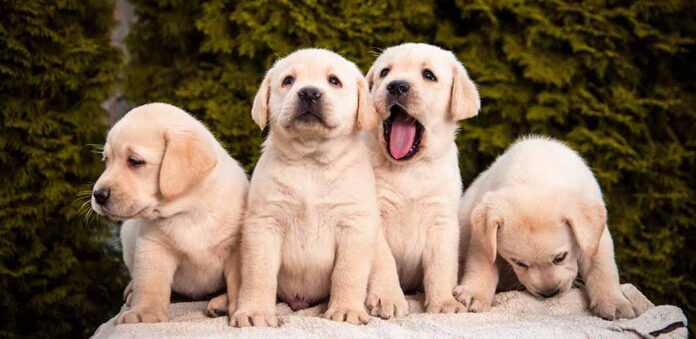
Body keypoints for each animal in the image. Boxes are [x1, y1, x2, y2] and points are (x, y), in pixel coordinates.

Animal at [89, 103, 247, 324]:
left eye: (135, 161)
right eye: (106, 160)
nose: (98, 195)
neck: (188, 210)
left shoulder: (236, 248)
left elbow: (238, 284)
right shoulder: (153, 247)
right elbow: (151, 283)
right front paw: (143, 312)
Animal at [227, 49, 402, 328]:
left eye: (334, 81)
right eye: (288, 80)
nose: (309, 92)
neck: (310, 160)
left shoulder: (353, 226)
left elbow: (347, 272)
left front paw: (346, 310)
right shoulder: (263, 223)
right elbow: (258, 273)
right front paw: (255, 312)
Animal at [362, 43, 482, 314]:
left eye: (428, 75)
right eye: (385, 72)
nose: (396, 85)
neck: (409, 168)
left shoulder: (442, 221)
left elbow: (442, 267)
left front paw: (444, 302)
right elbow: (384, 261)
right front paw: (387, 298)